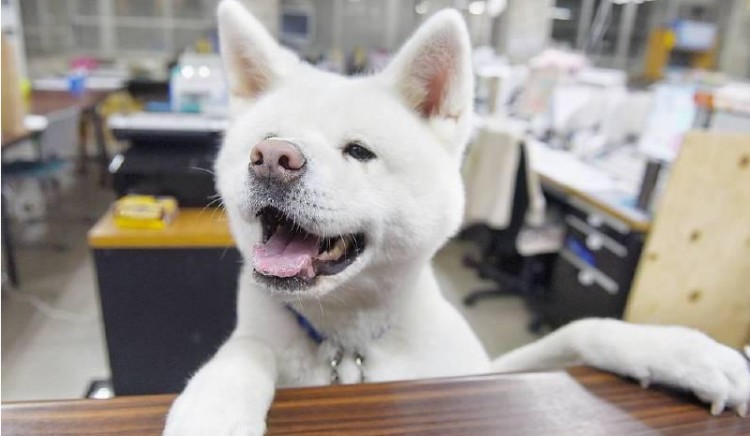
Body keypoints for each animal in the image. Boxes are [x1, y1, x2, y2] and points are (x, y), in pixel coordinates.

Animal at [166, 1, 750, 434]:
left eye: (358, 152)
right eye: (265, 140)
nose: (272, 158)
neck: (348, 348)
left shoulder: (480, 373)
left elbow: (582, 329)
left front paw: (683, 353)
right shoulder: (261, 339)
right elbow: (247, 349)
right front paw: (212, 408)